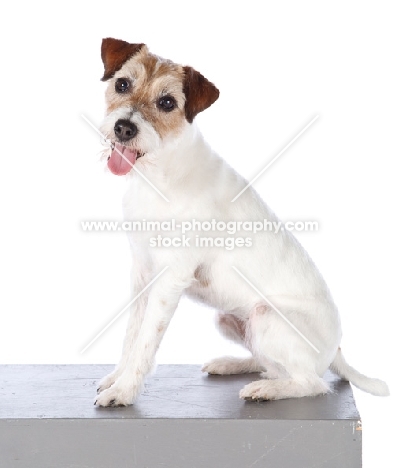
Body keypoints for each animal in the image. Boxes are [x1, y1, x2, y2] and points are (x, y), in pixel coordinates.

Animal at [94, 38, 390, 406]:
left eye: (167, 103)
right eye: (122, 84)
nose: (124, 128)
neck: (161, 173)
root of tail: (337, 350)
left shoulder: (169, 279)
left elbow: (146, 342)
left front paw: (124, 390)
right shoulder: (142, 274)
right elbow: (131, 335)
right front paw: (116, 378)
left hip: (266, 317)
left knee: (311, 382)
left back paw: (267, 390)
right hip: (228, 319)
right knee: (270, 365)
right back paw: (233, 364)